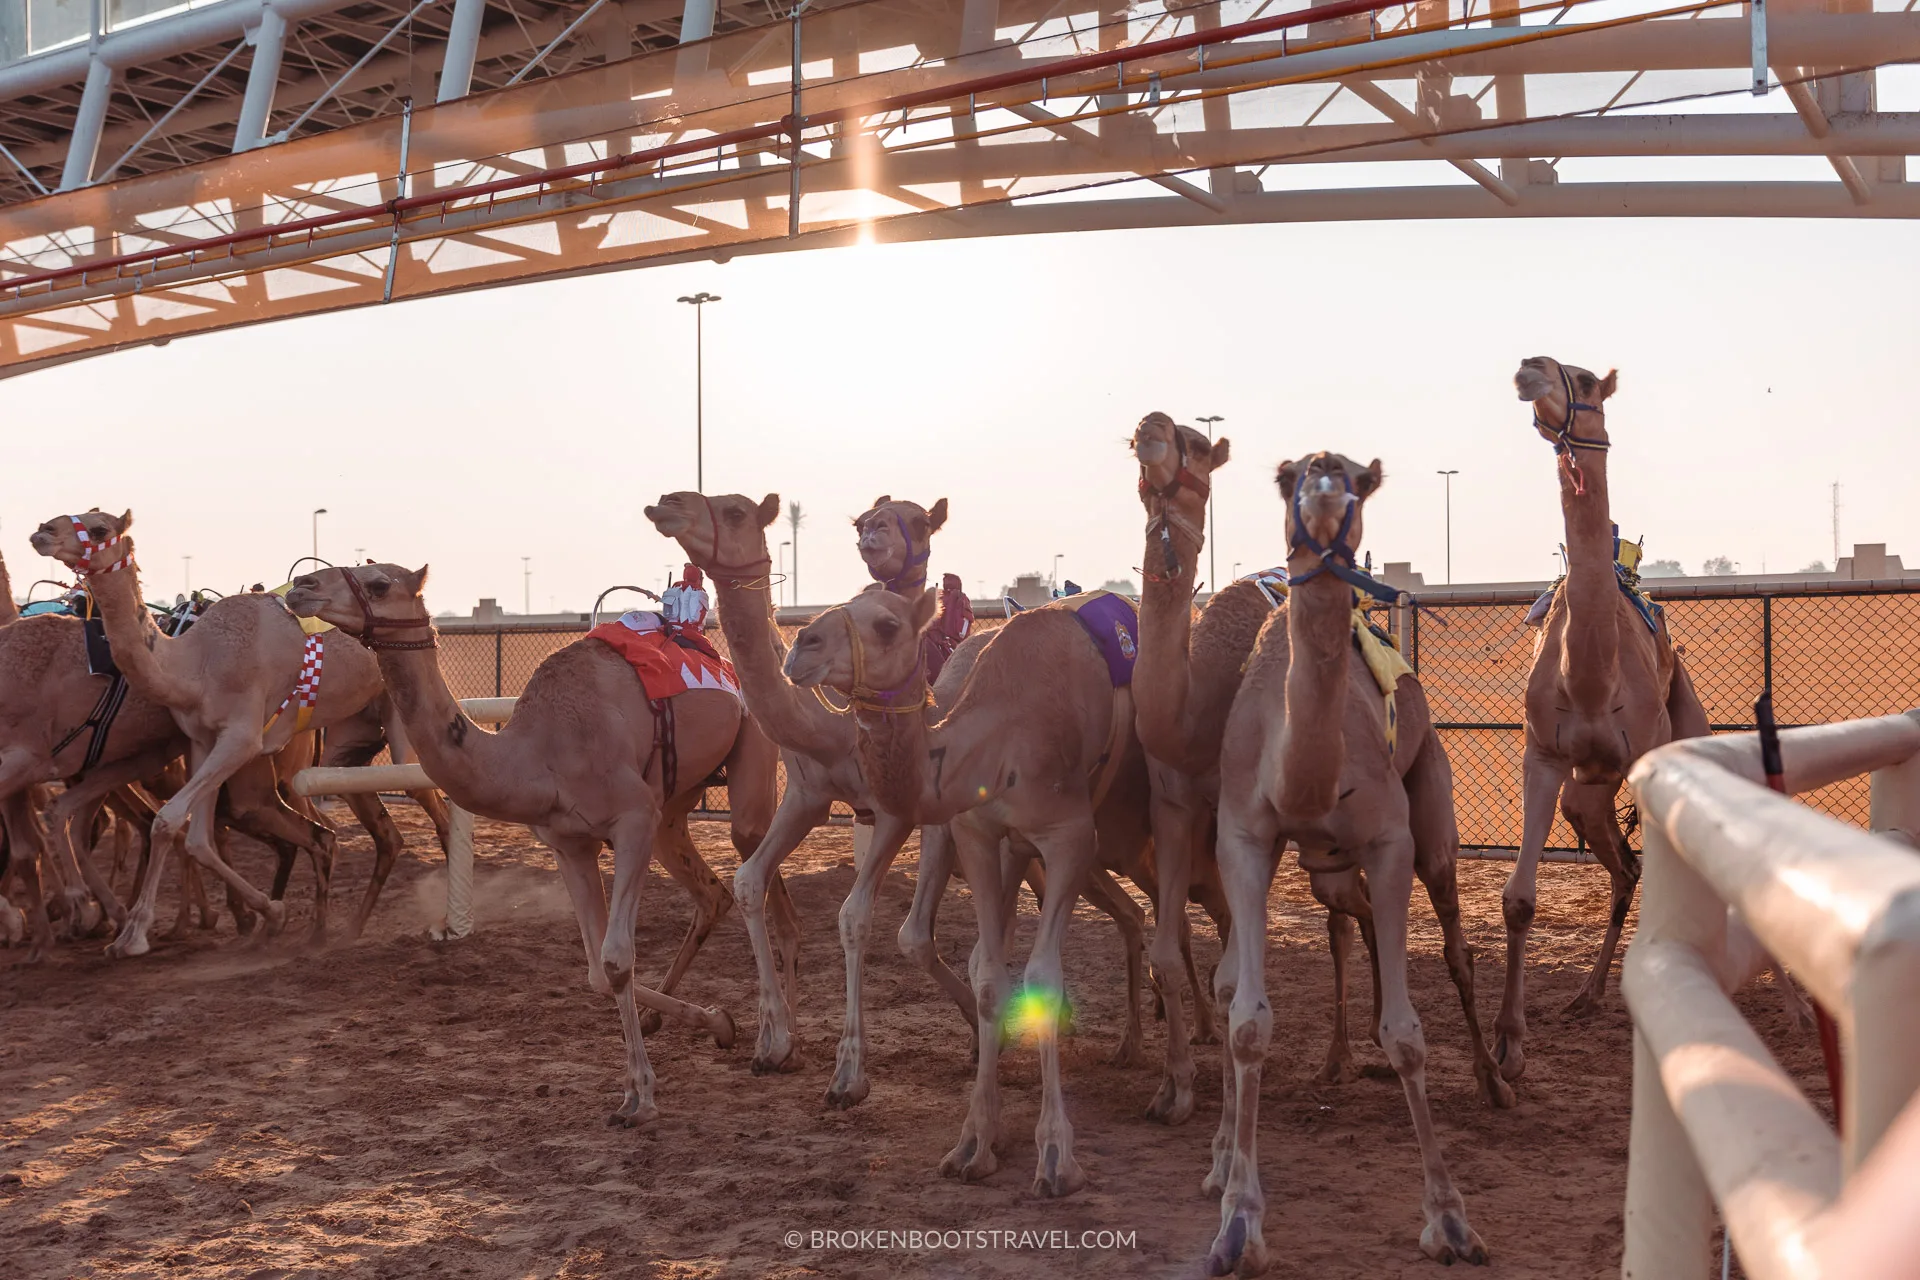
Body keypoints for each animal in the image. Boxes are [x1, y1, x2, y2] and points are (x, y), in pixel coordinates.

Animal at [284, 561, 773, 1126]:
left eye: (380, 583)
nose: (302, 588)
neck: (538, 755)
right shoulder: (570, 844)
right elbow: (596, 973)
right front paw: (711, 1025)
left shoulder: (632, 820)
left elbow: (616, 959)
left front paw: (642, 1097)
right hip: (675, 804)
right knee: (712, 893)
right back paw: (701, 1024)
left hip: (746, 747)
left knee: (755, 862)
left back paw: (779, 1045)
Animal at [783, 584, 1156, 1198]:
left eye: (887, 625)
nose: (800, 646)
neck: (998, 735)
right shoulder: (979, 834)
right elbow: (987, 974)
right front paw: (975, 1143)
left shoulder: (1070, 837)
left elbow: (1042, 975)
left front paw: (1056, 1156)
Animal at [1205, 452, 1491, 1274]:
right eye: (1286, 476)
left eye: (1361, 481)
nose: (1325, 482)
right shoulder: (1243, 839)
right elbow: (1245, 1019)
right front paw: (1237, 1221)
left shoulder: (1390, 842)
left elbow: (1408, 1033)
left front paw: (1449, 1218)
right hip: (1325, 866)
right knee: (1348, 920)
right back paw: (1339, 1052)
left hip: (1431, 811)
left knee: (1455, 942)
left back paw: (1497, 1081)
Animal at [1495, 358, 1715, 1080]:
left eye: (1586, 381)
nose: (1530, 369)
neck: (1592, 675)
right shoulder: (1544, 755)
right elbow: (1519, 899)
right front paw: (1508, 1047)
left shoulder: (1645, 760)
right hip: (1585, 795)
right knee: (1625, 870)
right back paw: (1586, 995)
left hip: (1683, 732)